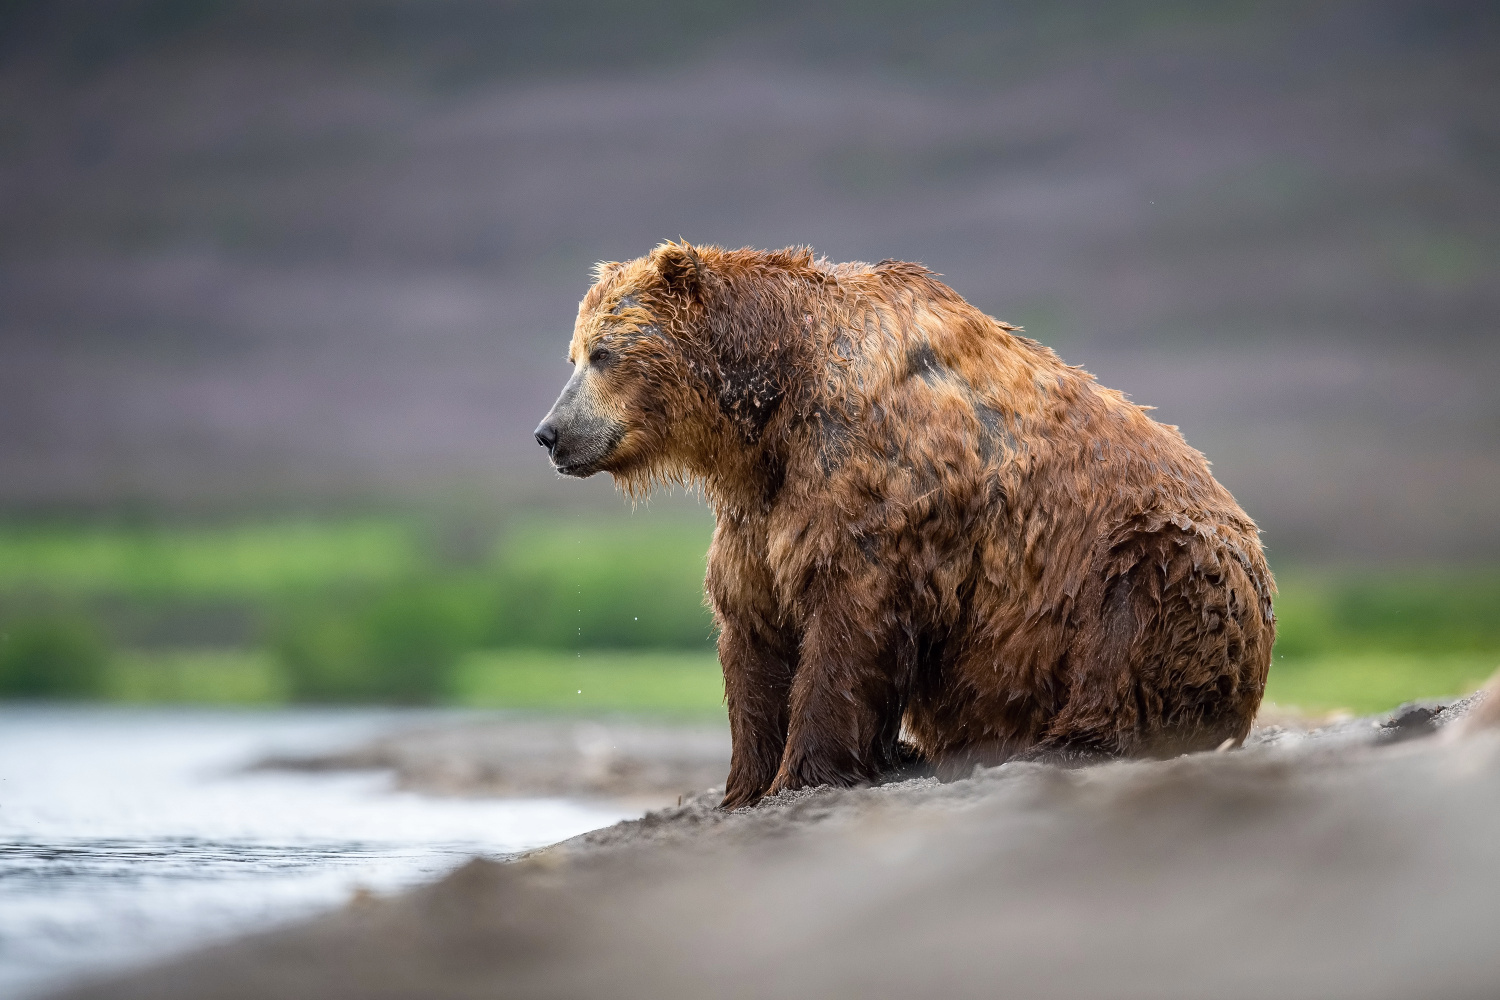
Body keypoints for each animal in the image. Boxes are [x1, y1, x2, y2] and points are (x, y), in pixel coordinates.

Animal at [534, 244, 1272, 815]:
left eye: (603, 354)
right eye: (573, 355)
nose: (549, 433)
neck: (771, 410)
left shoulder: (876, 489)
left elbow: (848, 623)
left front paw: (805, 774)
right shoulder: (760, 514)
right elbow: (753, 628)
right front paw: (743, 785)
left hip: (1154, 562)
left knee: (1133, 619)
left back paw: (1062, 742)